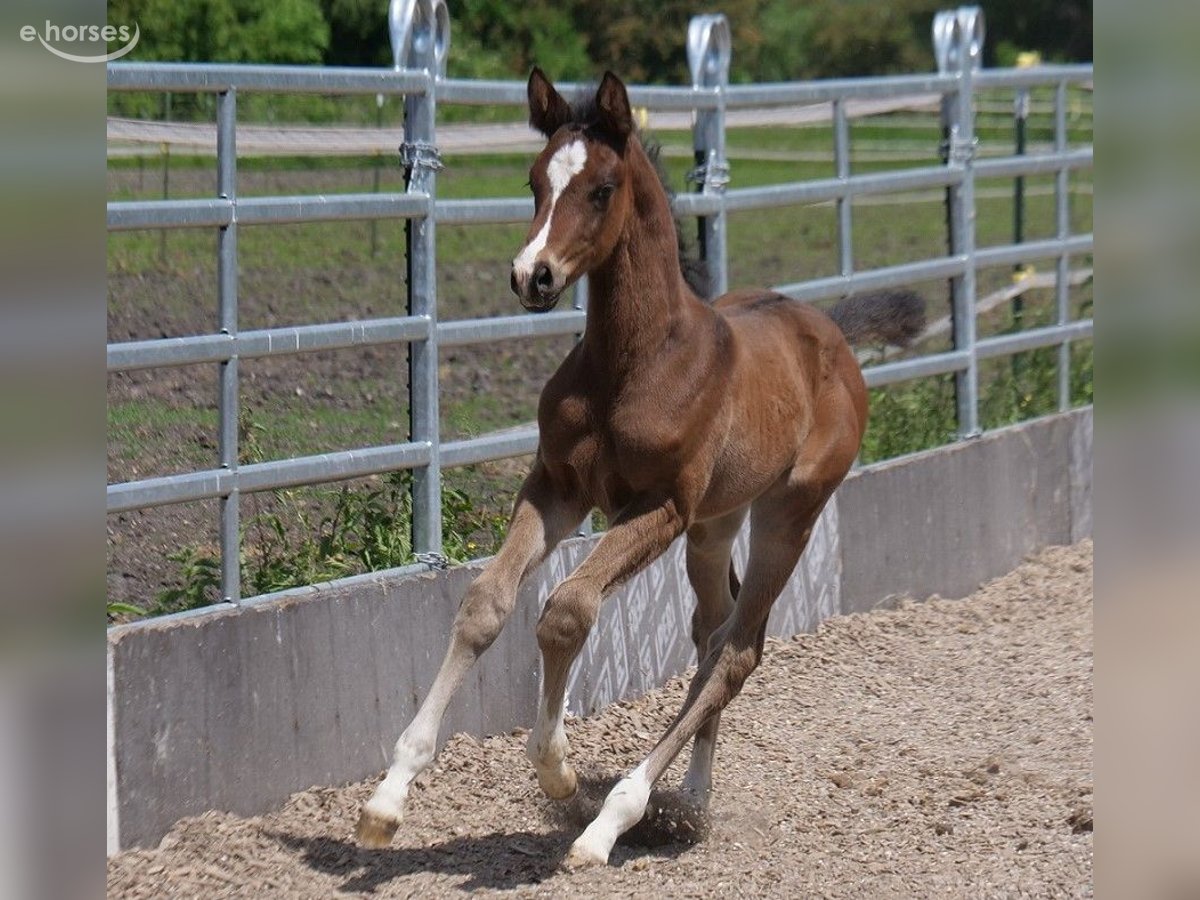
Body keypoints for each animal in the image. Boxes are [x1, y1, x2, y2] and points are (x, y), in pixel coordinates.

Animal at [358, 68, 924, 868]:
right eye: (534, 180)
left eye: (600, 189)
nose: (531, 276)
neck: (634, 361)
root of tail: (832, 334)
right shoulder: (557, 488)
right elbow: (486, 604)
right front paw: (388, 798)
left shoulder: (658, 507)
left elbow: (567, 610)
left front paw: (560, 774)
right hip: (718, 522)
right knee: (711, 632)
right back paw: (689, 800)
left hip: (789, 512)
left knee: (738, 652)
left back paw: (613, 820)